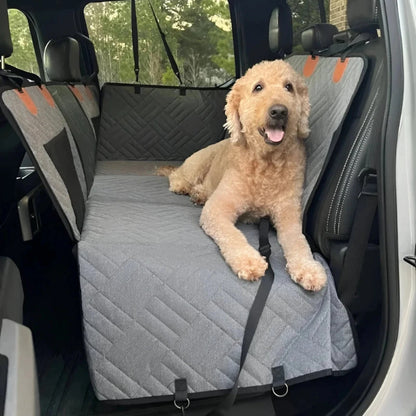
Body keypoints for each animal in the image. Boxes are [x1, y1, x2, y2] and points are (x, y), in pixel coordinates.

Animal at [158, 59, 326, 292]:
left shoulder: (288, 215)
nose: (279, 111)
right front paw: (249, 260)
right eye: (258, 87)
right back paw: (183, 186)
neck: (266, 163)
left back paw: (199, 194)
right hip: (198, 162)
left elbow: (298, 242)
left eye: (289, 87)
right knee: (178, 176)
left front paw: (308, 268)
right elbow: (231, 234)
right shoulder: (217, 210)